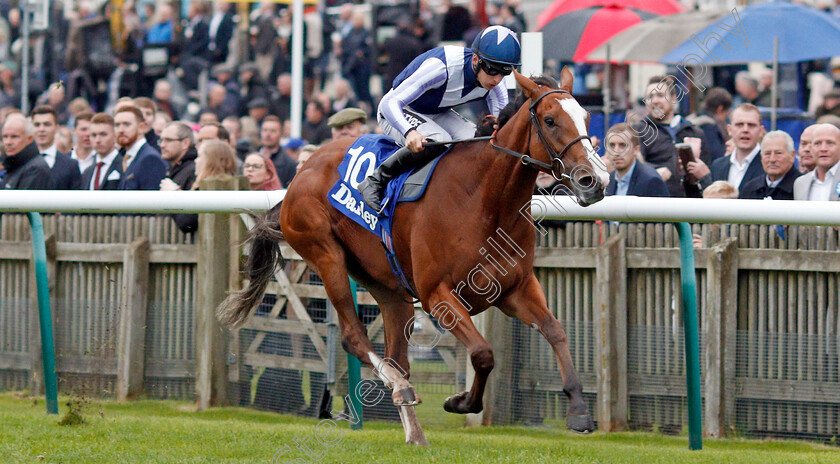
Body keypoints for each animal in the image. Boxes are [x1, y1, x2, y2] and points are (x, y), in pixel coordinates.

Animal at [220, 68, 608, 442]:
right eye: (550, 120)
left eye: (587, 116)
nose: (595, 181)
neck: (485, 199)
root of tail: (299, 175)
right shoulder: (438, 295)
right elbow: (483, 353)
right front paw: (460, 402)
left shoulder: (515, 288)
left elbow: (555, 330)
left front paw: (579, 411)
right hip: (326, 255)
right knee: (354, 337)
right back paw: (402, 391)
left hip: (387, 286)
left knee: (397, 357)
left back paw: (414, 431)